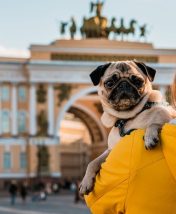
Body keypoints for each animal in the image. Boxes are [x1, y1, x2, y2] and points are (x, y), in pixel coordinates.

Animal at [79, 60, 176, 196]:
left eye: (138, 81)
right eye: (110, 83)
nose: (124, 84)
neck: (127, 119)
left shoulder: (168, 118)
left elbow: (153, 124)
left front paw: (149, 136)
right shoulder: (111, 150)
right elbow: (93, 162)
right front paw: (86, 181)